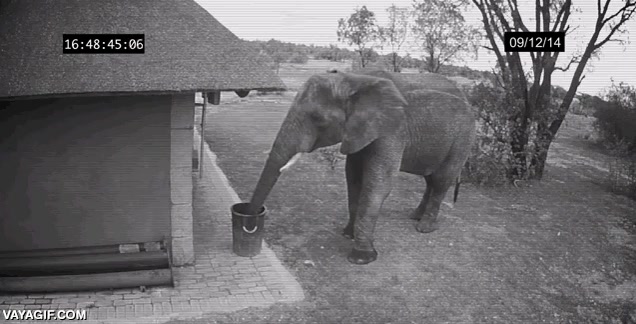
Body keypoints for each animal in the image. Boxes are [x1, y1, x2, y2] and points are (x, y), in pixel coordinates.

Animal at [246, 69, 474, 264]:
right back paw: (415, 216)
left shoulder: (391, 130)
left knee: (441, 179)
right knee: (430, 179)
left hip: (463, 139)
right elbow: (353, 178)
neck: (354, 80)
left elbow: (378, 184)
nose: (251, 219)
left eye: (317, 119)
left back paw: (423, 228)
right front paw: (347, 234)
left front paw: (361, 258)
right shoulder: (358, 133)